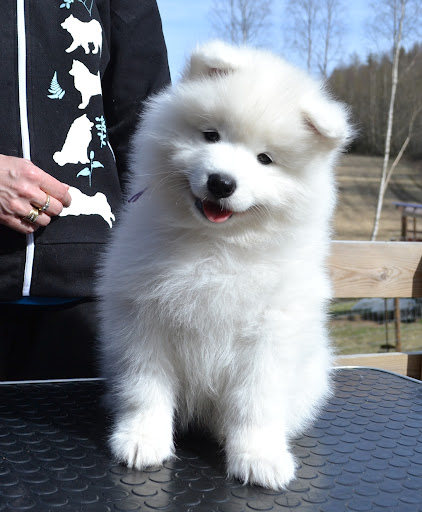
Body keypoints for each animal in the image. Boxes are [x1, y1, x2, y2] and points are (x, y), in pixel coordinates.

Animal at [97, 40, 352, 488]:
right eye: (211, 135)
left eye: (265, 159)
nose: (221, 182)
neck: (215, 246)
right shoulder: (143, 320)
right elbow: (145, 387)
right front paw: (142, 440)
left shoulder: (269, 335)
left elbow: (257, 402)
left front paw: (259, 457)